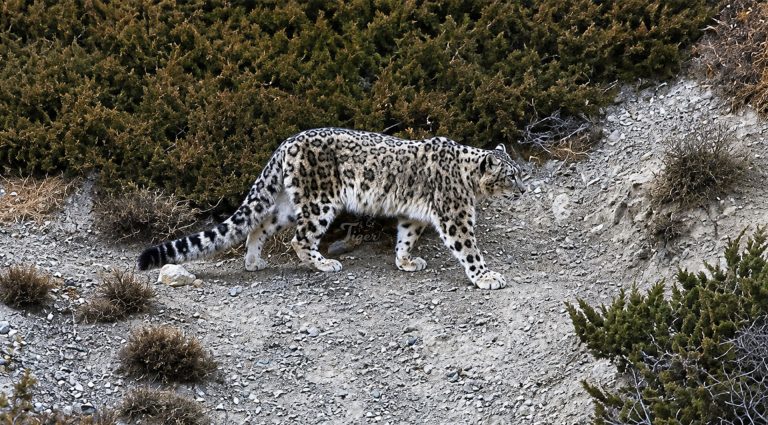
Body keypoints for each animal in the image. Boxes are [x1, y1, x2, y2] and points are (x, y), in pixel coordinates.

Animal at [137, 128, 526, 290]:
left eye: (521, 173)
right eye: (511, 175)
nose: (524, 190)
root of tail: (286, 143)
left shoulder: (413, 215)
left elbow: (406, 236)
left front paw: (405, 261)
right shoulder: (455, 216)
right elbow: (469, 249)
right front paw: (486, 277)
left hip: (287, 203)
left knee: (260, 225)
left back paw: (254, 261)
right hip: (320, 201)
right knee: (299, 239)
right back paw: (323, 263)